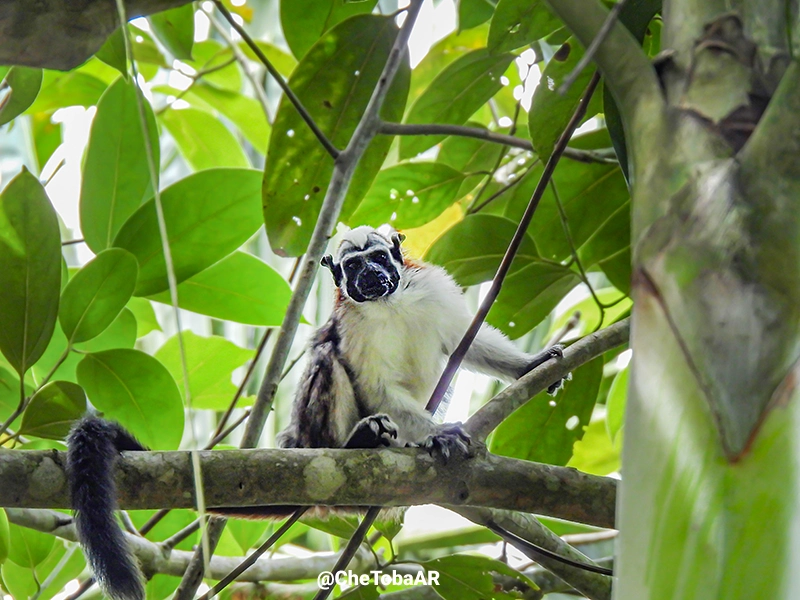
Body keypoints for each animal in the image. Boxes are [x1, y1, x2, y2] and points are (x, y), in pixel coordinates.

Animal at [65, 225, 568, 600]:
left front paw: (529, 365)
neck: (389, 303)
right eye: (353, 266)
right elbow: (372, 382)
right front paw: (439, 433)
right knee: (327, 357)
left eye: (377, 258)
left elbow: (467, 337)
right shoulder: (352, 323)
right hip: (312, 433)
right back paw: (357, 442)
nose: (370, 274)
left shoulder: (432, 288)